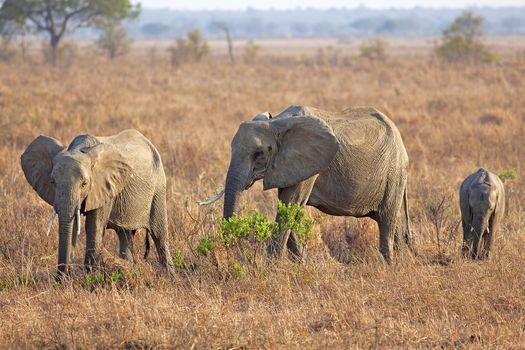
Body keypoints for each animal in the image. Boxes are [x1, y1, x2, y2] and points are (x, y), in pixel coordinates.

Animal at [205, 105, 414, 262]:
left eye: (259, 153)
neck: (276, 123)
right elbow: (288, 209)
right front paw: (302, 263)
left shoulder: (308, 165)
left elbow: (289, 207)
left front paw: (269, 269)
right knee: (394, 222)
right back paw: (402, 262)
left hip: (393, 173)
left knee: (386, 219)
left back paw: (389, 265)